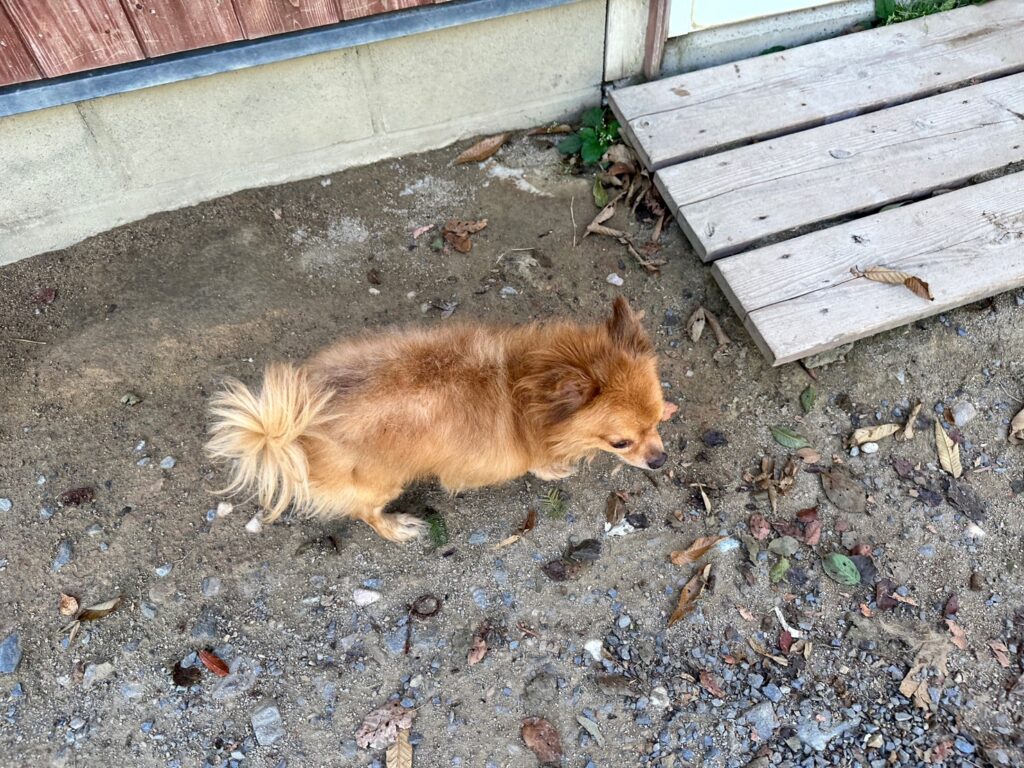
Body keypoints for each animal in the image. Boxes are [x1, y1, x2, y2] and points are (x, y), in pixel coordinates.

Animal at [206, 297, 674, 542]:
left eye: (654, 425)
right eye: (620, 443)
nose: (660, 460)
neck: (524, 381)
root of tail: (292, 431)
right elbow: (540, 464)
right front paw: (555, 468)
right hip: (383, 481)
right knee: (364, 512)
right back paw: (397, 527)